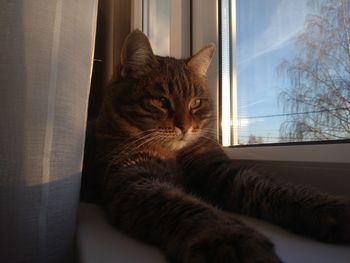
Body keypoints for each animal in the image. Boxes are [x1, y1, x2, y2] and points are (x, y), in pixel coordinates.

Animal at [82, 29, 350, 262]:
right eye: (160, 101)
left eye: (196, 102)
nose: (185, 127)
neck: (174, 156)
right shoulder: (134, 178)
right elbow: (182, 206)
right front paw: (230, 238)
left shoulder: (219, 170)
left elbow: (271, 186)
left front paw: (329, 206)